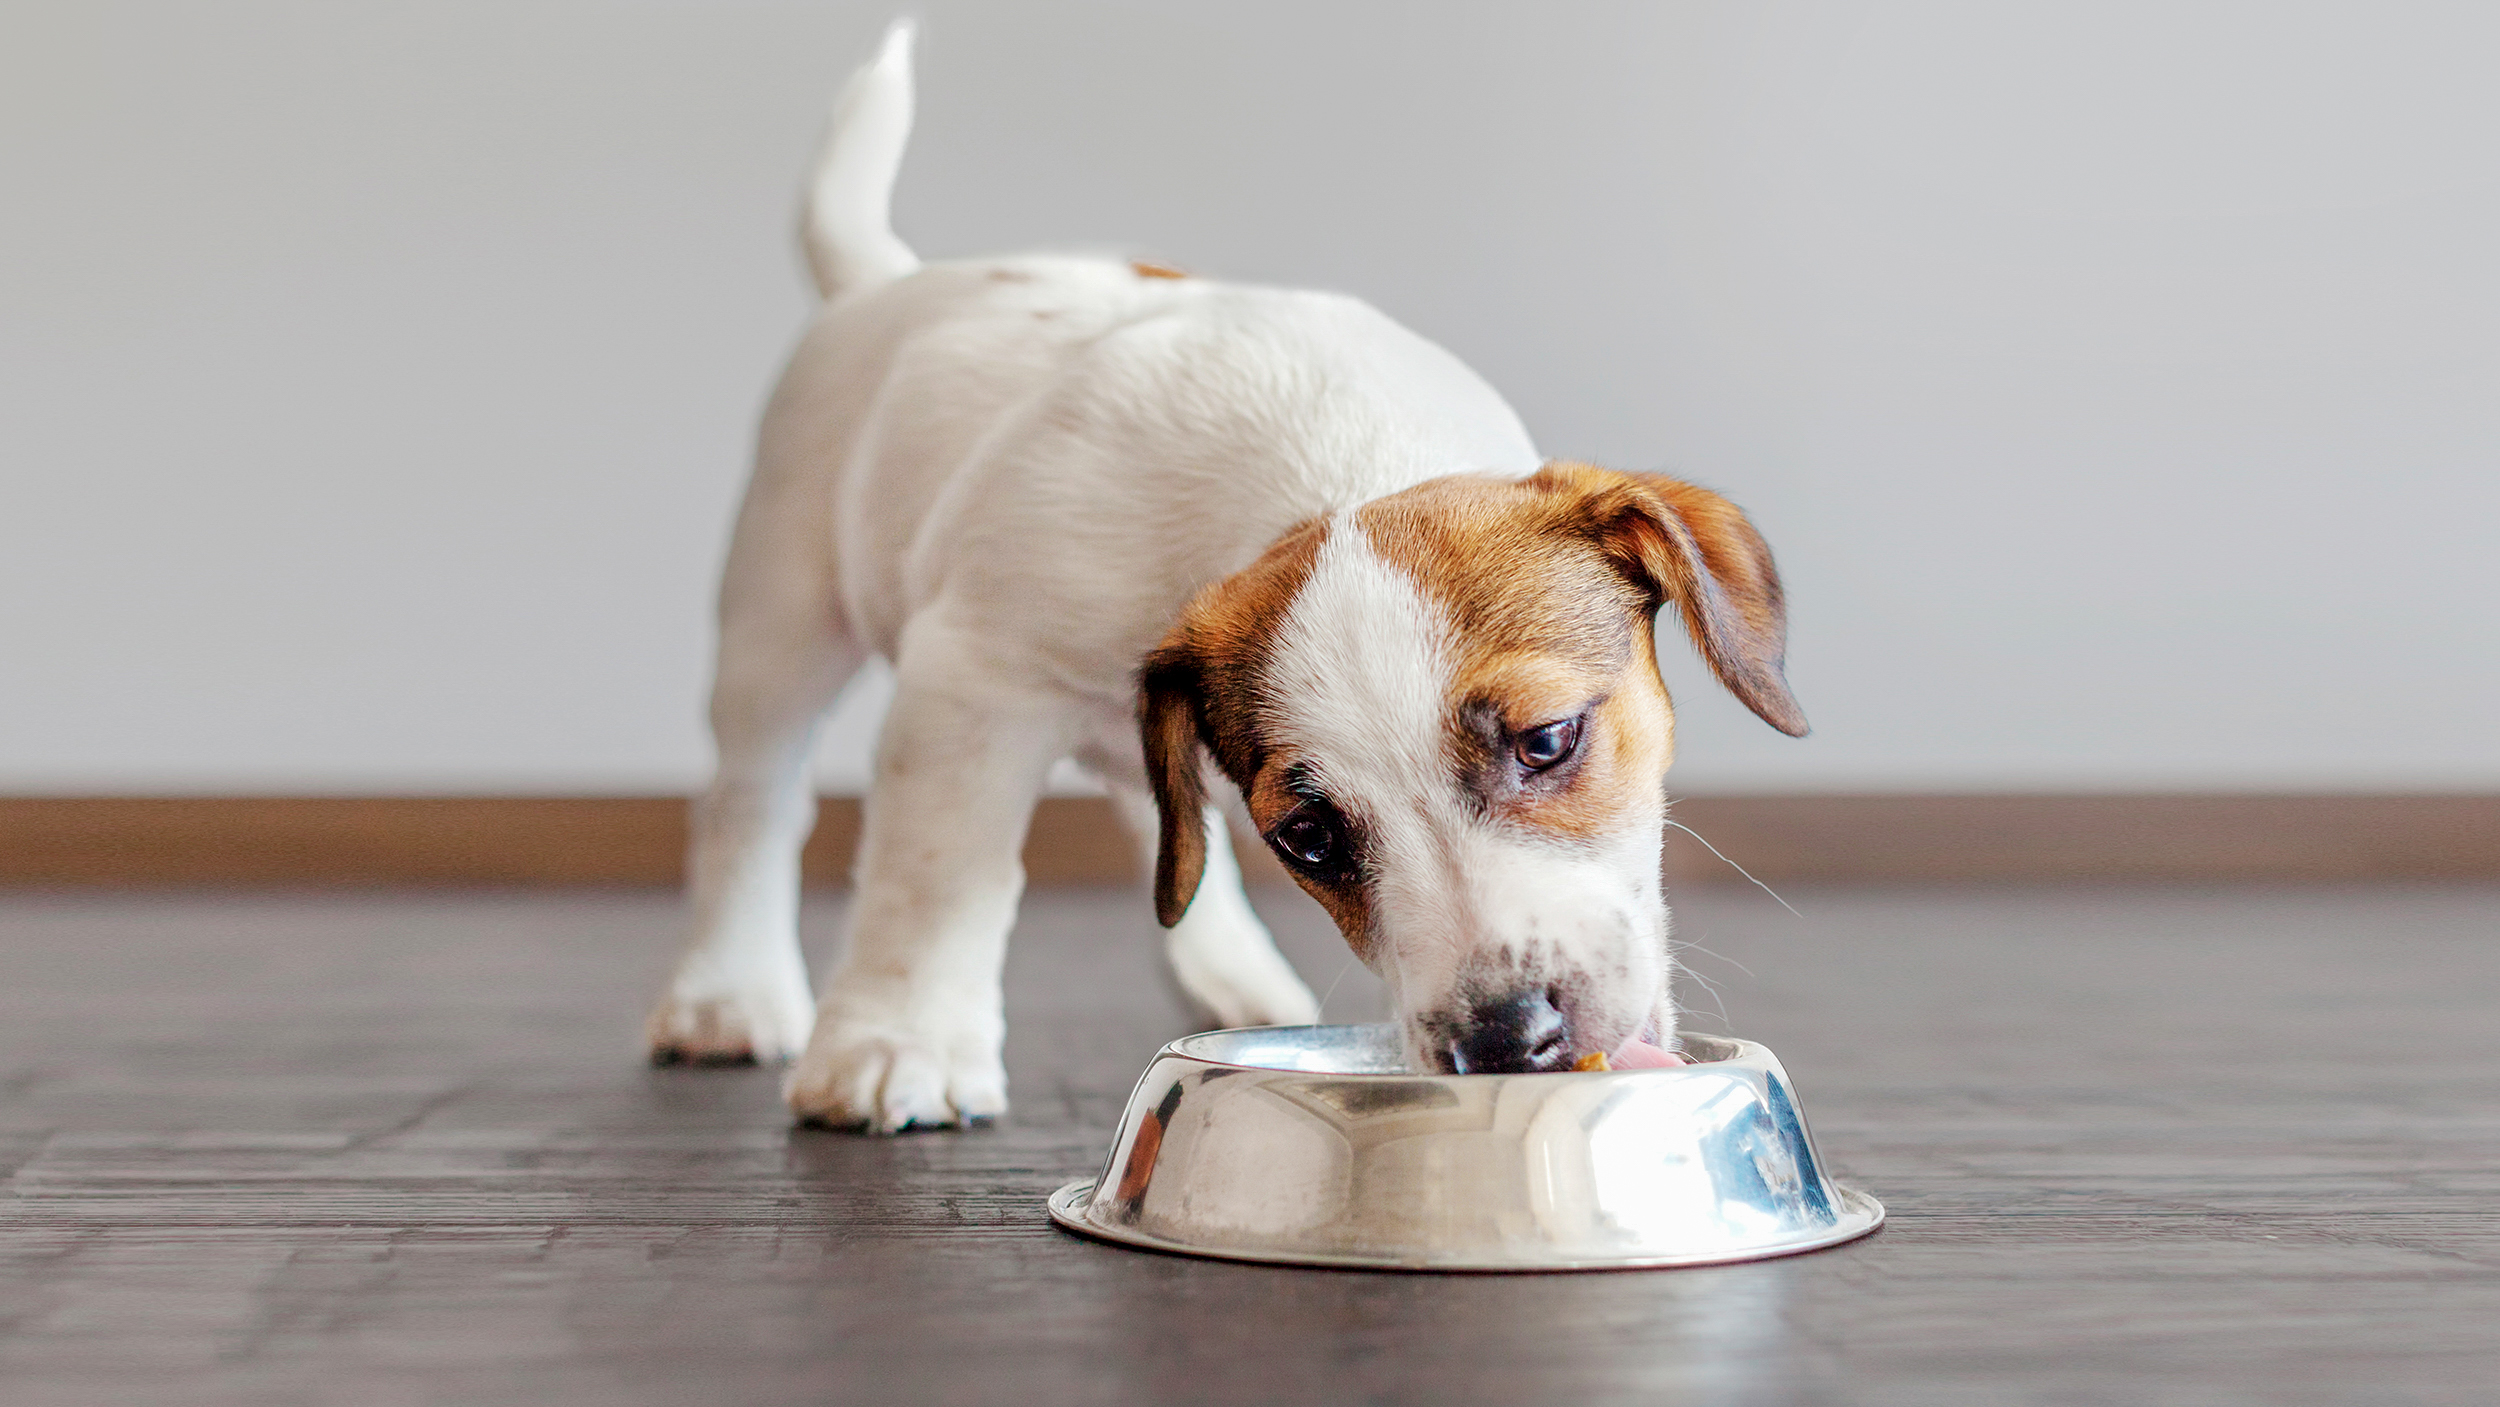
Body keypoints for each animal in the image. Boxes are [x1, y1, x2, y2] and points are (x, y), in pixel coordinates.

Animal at [645, 24, 1810, 1134]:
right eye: (1309, 838)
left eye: (1548, 742)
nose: (1503, 1040)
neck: (1336, 466)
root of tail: (882, 281)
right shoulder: (969, 684)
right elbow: (937, 876)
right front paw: (897, 1044)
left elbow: (1168, 838)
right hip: (781, 621)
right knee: (754, 801)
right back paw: (727, 993)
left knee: (1163, 820)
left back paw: (1234, 973)